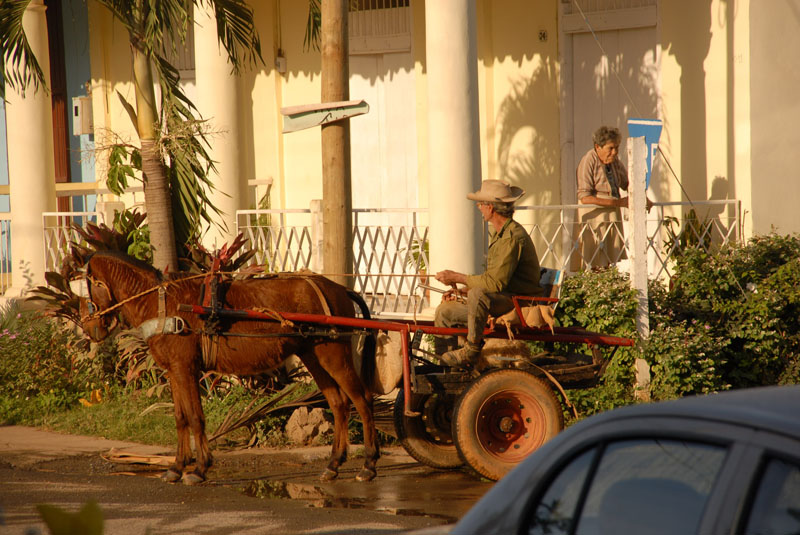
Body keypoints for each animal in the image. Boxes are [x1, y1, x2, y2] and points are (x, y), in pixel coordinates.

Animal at [79, 251, 380, 486]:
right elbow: (181, 418)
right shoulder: (173, 372)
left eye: (89, 286)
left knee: (362, 400)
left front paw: (200, 468)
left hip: (333, 353)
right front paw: (177, 467)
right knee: (339, 404)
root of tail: (337, 289)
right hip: (313, 354)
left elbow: (195, 417)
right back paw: (334, 464)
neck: (161, 303)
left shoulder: (185, 369)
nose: (90, 329)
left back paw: (368, 464)